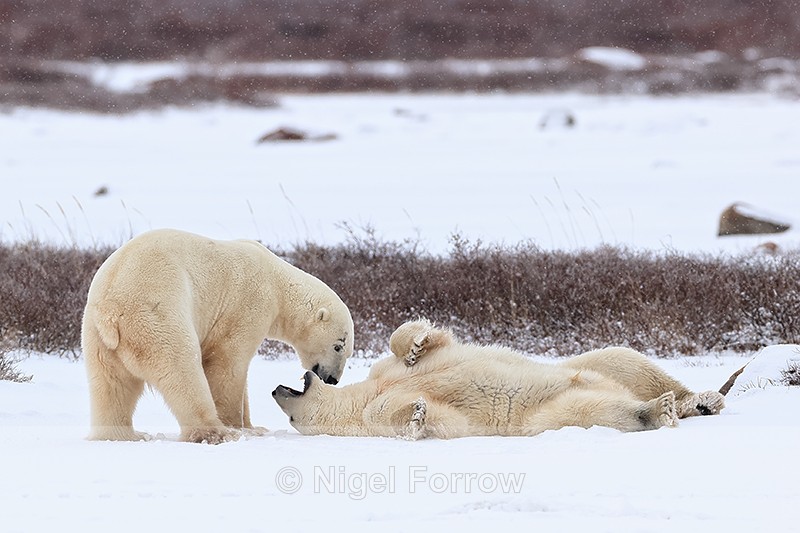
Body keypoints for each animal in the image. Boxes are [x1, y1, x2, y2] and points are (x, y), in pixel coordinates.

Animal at [82, 228, 354, 444]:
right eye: (338, 346)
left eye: (346, 350)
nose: (332, 379)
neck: (276, 280)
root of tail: (112, 311)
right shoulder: (249, 304)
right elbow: (228, 364)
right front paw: (240, 427)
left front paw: (254, 427)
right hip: (158, 317)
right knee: (182, 370)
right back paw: (218, 433)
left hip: (97, 337)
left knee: (110, 385)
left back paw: (122, 435)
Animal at [272, 318, 724, 439]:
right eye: (292, 419)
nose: (274, 388)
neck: (363, 397)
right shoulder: (374, 415)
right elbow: (438, 420)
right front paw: (417, 415)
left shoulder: (384, 375)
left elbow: (412, 349)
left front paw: (416, 344)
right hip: (555, 413)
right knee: (602, 410)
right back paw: (657, 410)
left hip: (598, 364)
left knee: (627, 360)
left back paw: (700, 399)